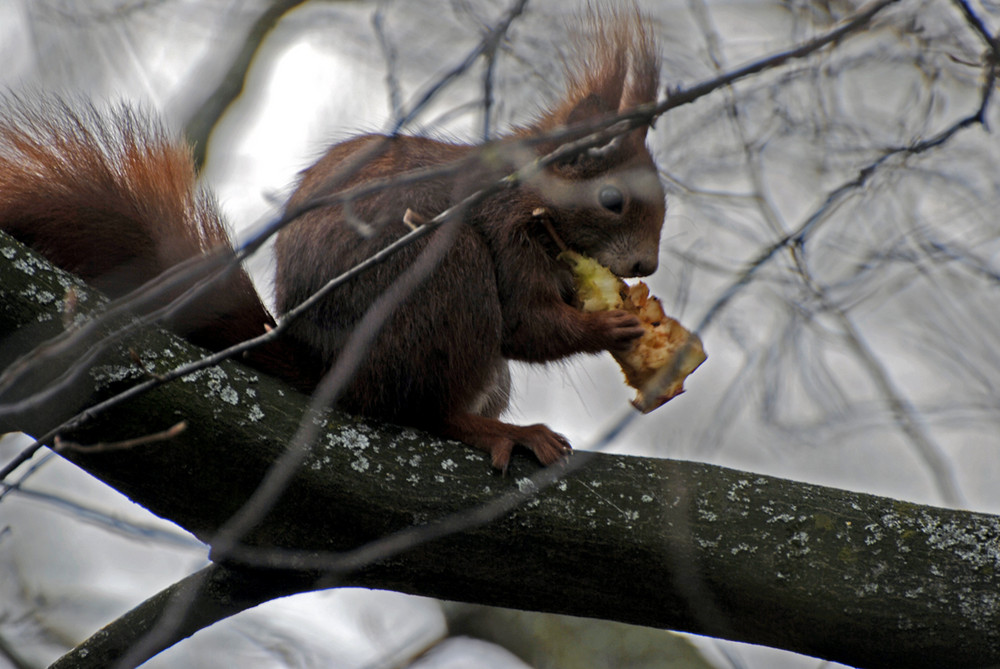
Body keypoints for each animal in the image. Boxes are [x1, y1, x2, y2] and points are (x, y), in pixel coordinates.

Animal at [3, 10, 668, 470]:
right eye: (612, 199)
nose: (647, 265)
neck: (533, 196)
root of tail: (333, 371)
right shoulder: (502, 229)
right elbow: (528, 326)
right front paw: (611, 328)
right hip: (444, 278)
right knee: (430, 410)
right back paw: (501, 432)